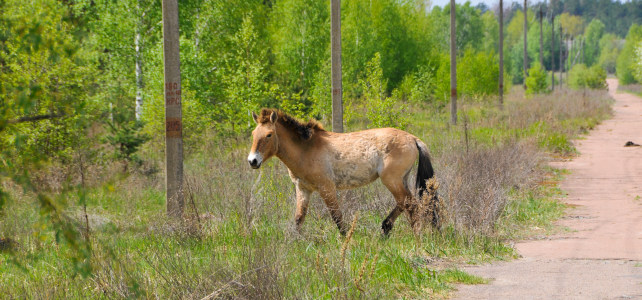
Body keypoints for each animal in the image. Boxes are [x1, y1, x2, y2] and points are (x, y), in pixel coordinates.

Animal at [248, 108, 438, 237]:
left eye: (269, 135)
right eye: (253, 133)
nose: (253, 161)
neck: (305, 149)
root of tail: (413, 139)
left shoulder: (326, 188)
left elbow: (336, 216)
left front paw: (346, 239)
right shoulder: (303, 189)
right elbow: (299, 218)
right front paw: (295, 242)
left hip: (391, 180)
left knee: (410, 204)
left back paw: (416, 237)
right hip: (400, 180)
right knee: (405, 203)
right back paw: (385, 228)